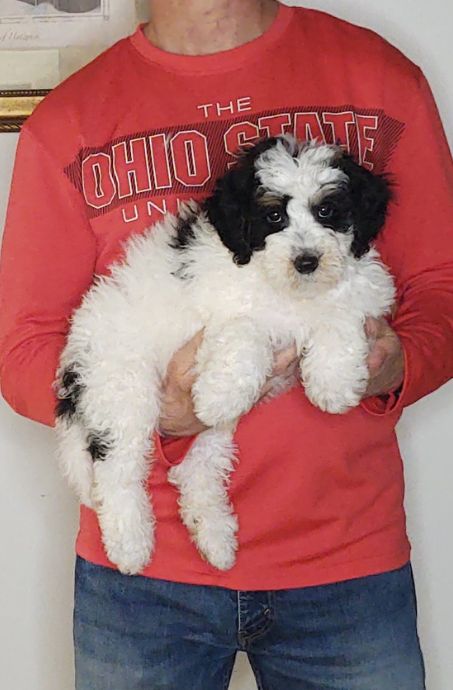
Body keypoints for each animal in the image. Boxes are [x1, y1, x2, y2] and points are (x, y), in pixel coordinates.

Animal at [54, 136, 394, 576]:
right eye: (273, 215)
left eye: (327, 210)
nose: (307, 261)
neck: (289, 291)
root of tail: (75, 357)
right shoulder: (220, 312)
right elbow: (246, 333)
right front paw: (222, 394)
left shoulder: (362, 294)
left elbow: (340, 316)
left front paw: (334, 383)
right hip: (122, 387)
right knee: (117, 470)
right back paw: (130, 544)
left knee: (198, 468)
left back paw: (214, 536)